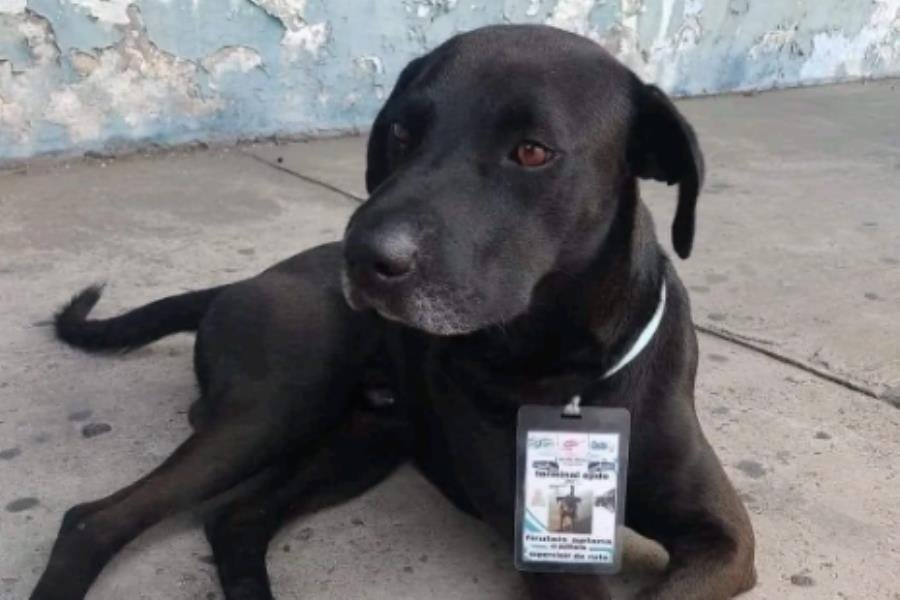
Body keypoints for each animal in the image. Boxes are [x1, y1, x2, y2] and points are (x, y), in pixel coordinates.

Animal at [31, 24, 752, 600]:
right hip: (276, 407)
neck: (568, 372)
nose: (363, 256)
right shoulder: (546, 552)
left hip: (361, 441)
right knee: (93, 520)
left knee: (235, 521)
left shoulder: (724, 539)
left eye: (532, 150)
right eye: (402, 131)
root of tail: (244, 281)